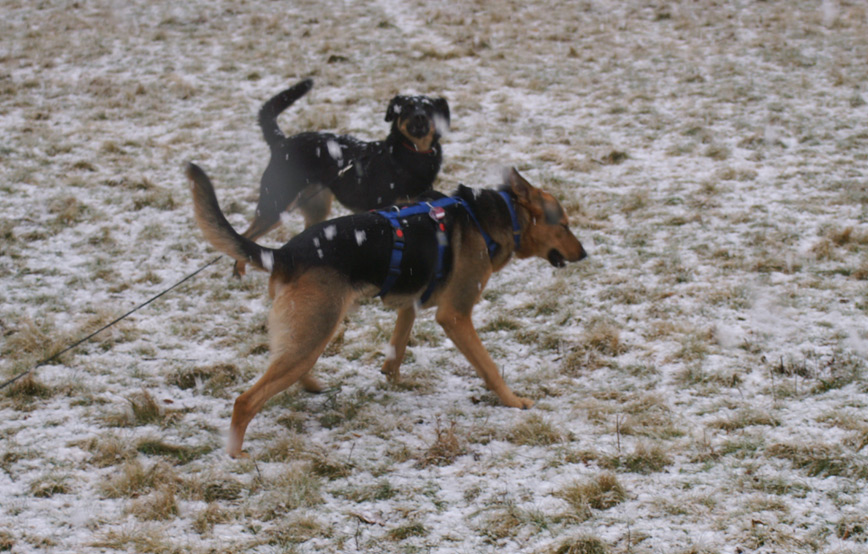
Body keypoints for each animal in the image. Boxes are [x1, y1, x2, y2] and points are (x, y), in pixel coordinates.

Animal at [186, 160, 588, 452]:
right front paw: (513, 401)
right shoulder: (455, 316)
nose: (585, 253)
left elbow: (396, 350)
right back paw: (236, 456)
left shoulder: (410, 305)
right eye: (565, 225)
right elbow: (489, 366)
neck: (493, 217)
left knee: (289, 366)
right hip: (316, 328)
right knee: (245, 401)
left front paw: (394, 380)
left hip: (312, 330)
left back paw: (313, 386)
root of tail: (283, 254)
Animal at [237, 78, 454, 274]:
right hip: (277, 203)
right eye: (407, 108)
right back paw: (239, 271)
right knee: (246, 234)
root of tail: (281, 143)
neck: (411, 155)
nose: (420, 117)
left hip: (316, 207)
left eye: (428, 108)